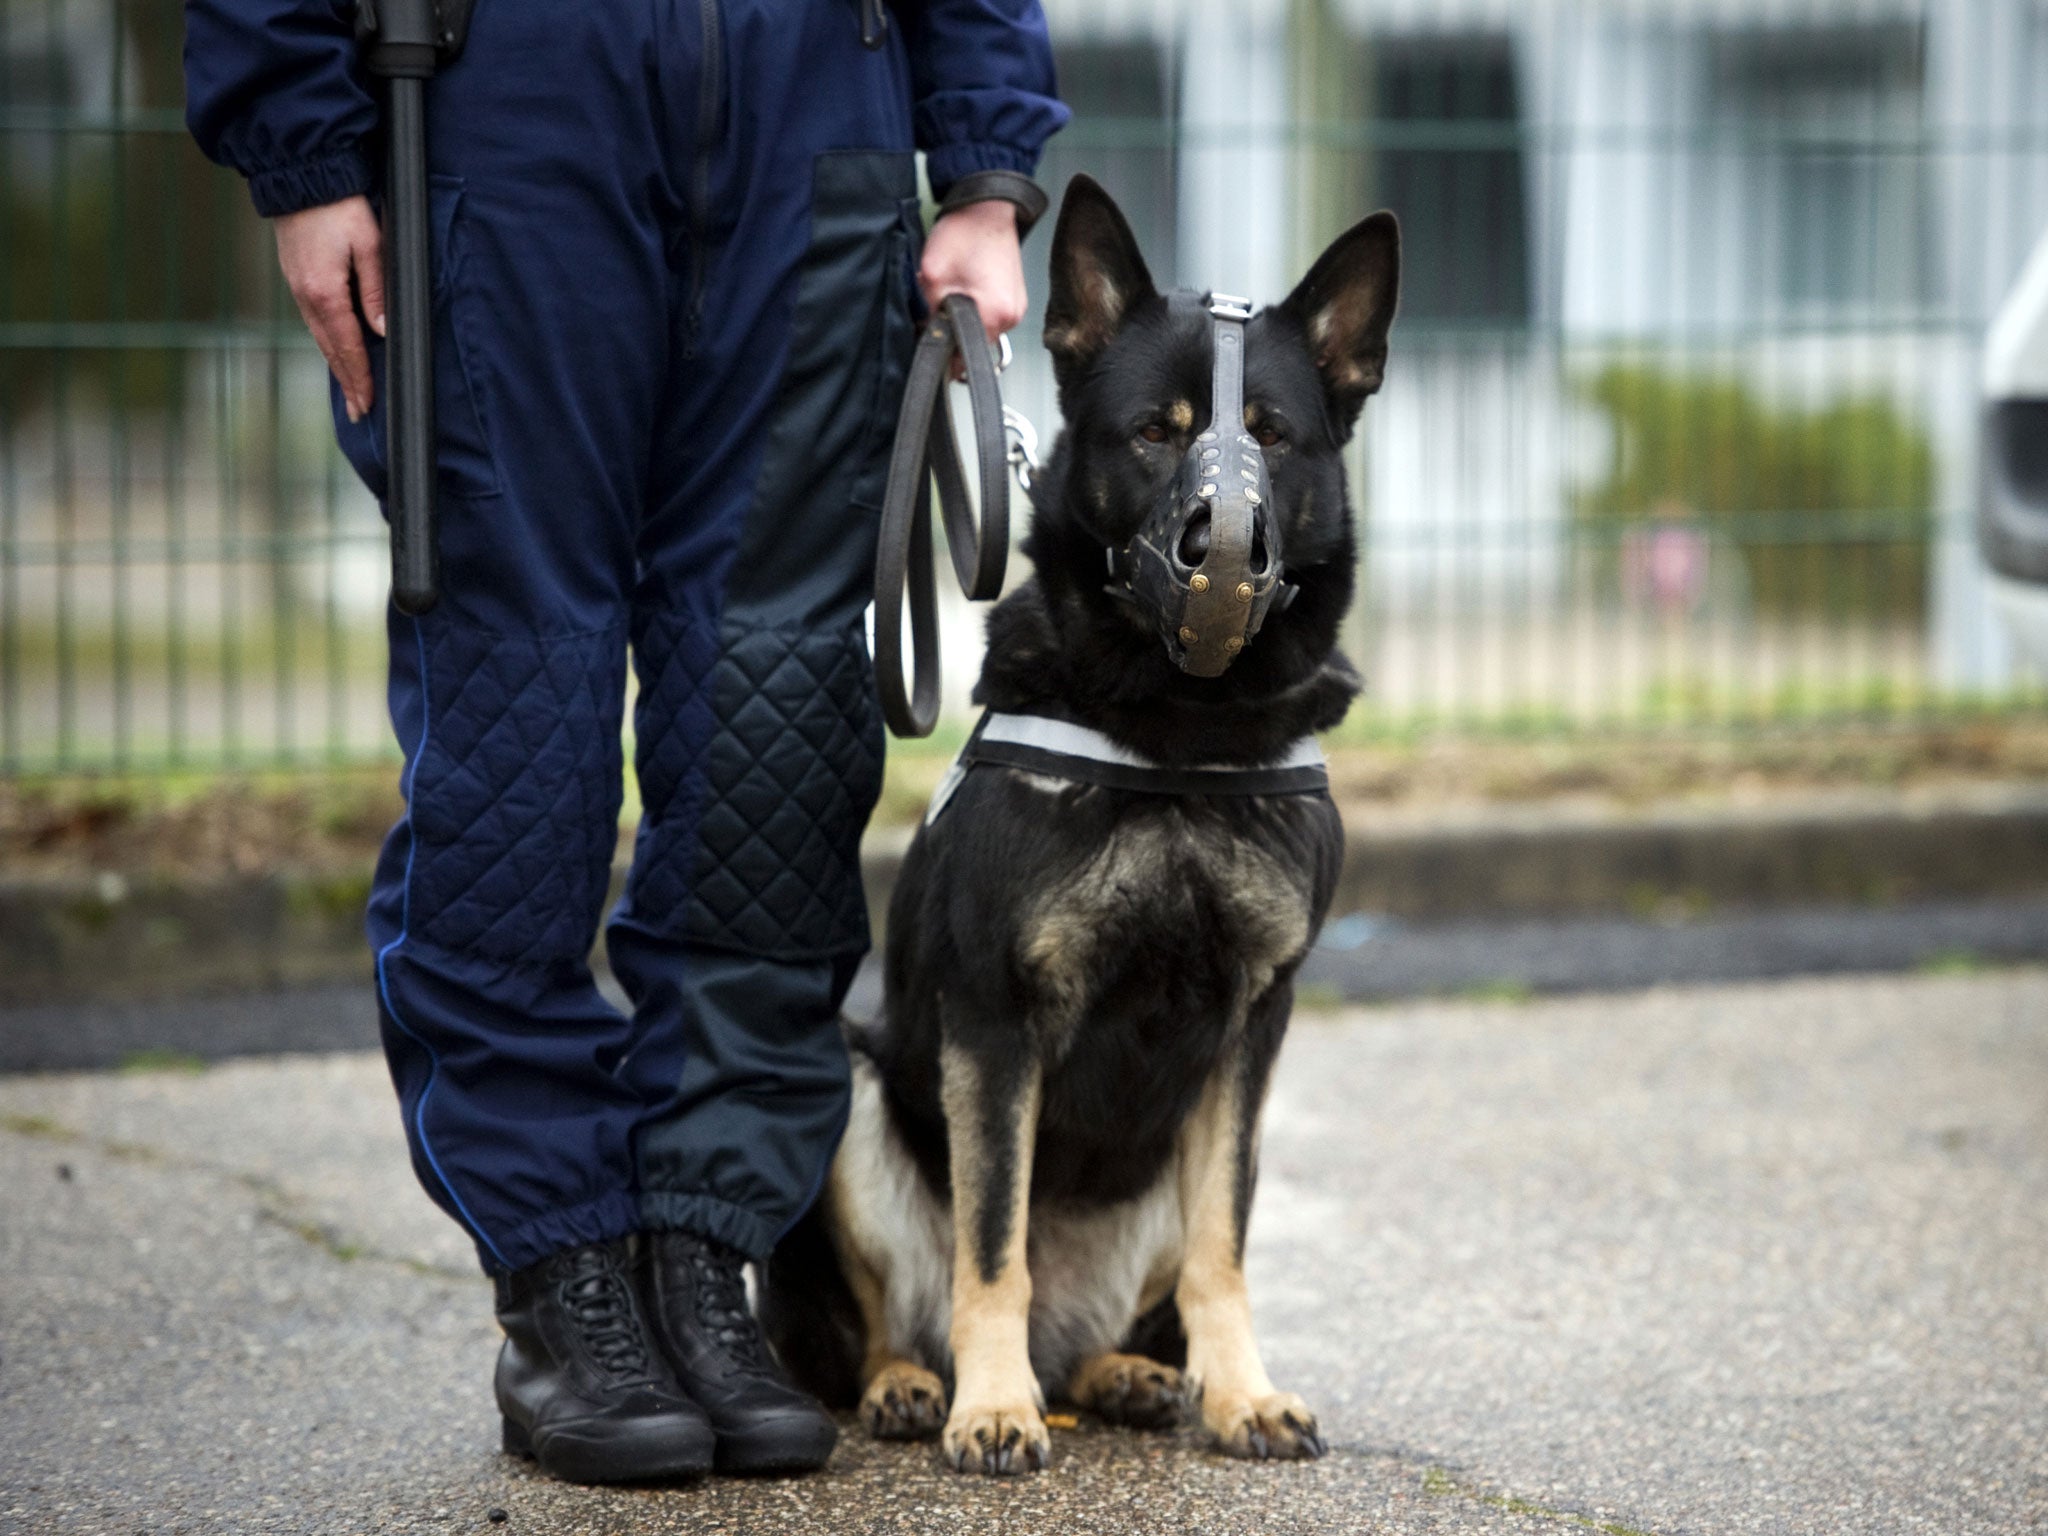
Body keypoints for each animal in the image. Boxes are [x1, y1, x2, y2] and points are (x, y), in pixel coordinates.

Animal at [761, 177, 1400, 1482]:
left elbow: (1222, 1250)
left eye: (1269, 434)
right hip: (851, 1097)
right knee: (884, 1317)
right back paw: (917, 1386)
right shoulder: (995, 1026)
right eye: (1154, 432)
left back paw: (1127, 1376)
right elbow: (991, 1244)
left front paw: (1238, 1394)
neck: (1176, 740)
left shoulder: (1249, 1034)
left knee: (1143, 1298)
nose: (1219, 543)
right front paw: (989, 1407)